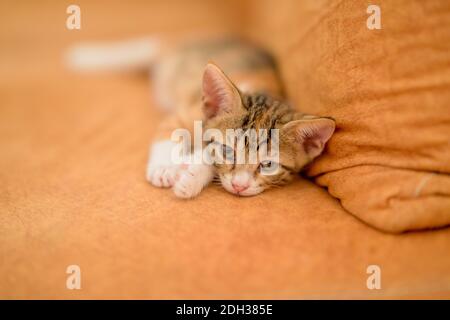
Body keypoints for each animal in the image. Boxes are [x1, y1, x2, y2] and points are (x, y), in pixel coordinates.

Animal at [66, 37, 334, 198]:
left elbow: (208, 156)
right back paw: (83, 57)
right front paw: (164, 168)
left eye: (268, 165)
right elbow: (170, 132)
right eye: (228, 151)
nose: (240, 186)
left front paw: (192, 176)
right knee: (149, 45)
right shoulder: (187, 113)